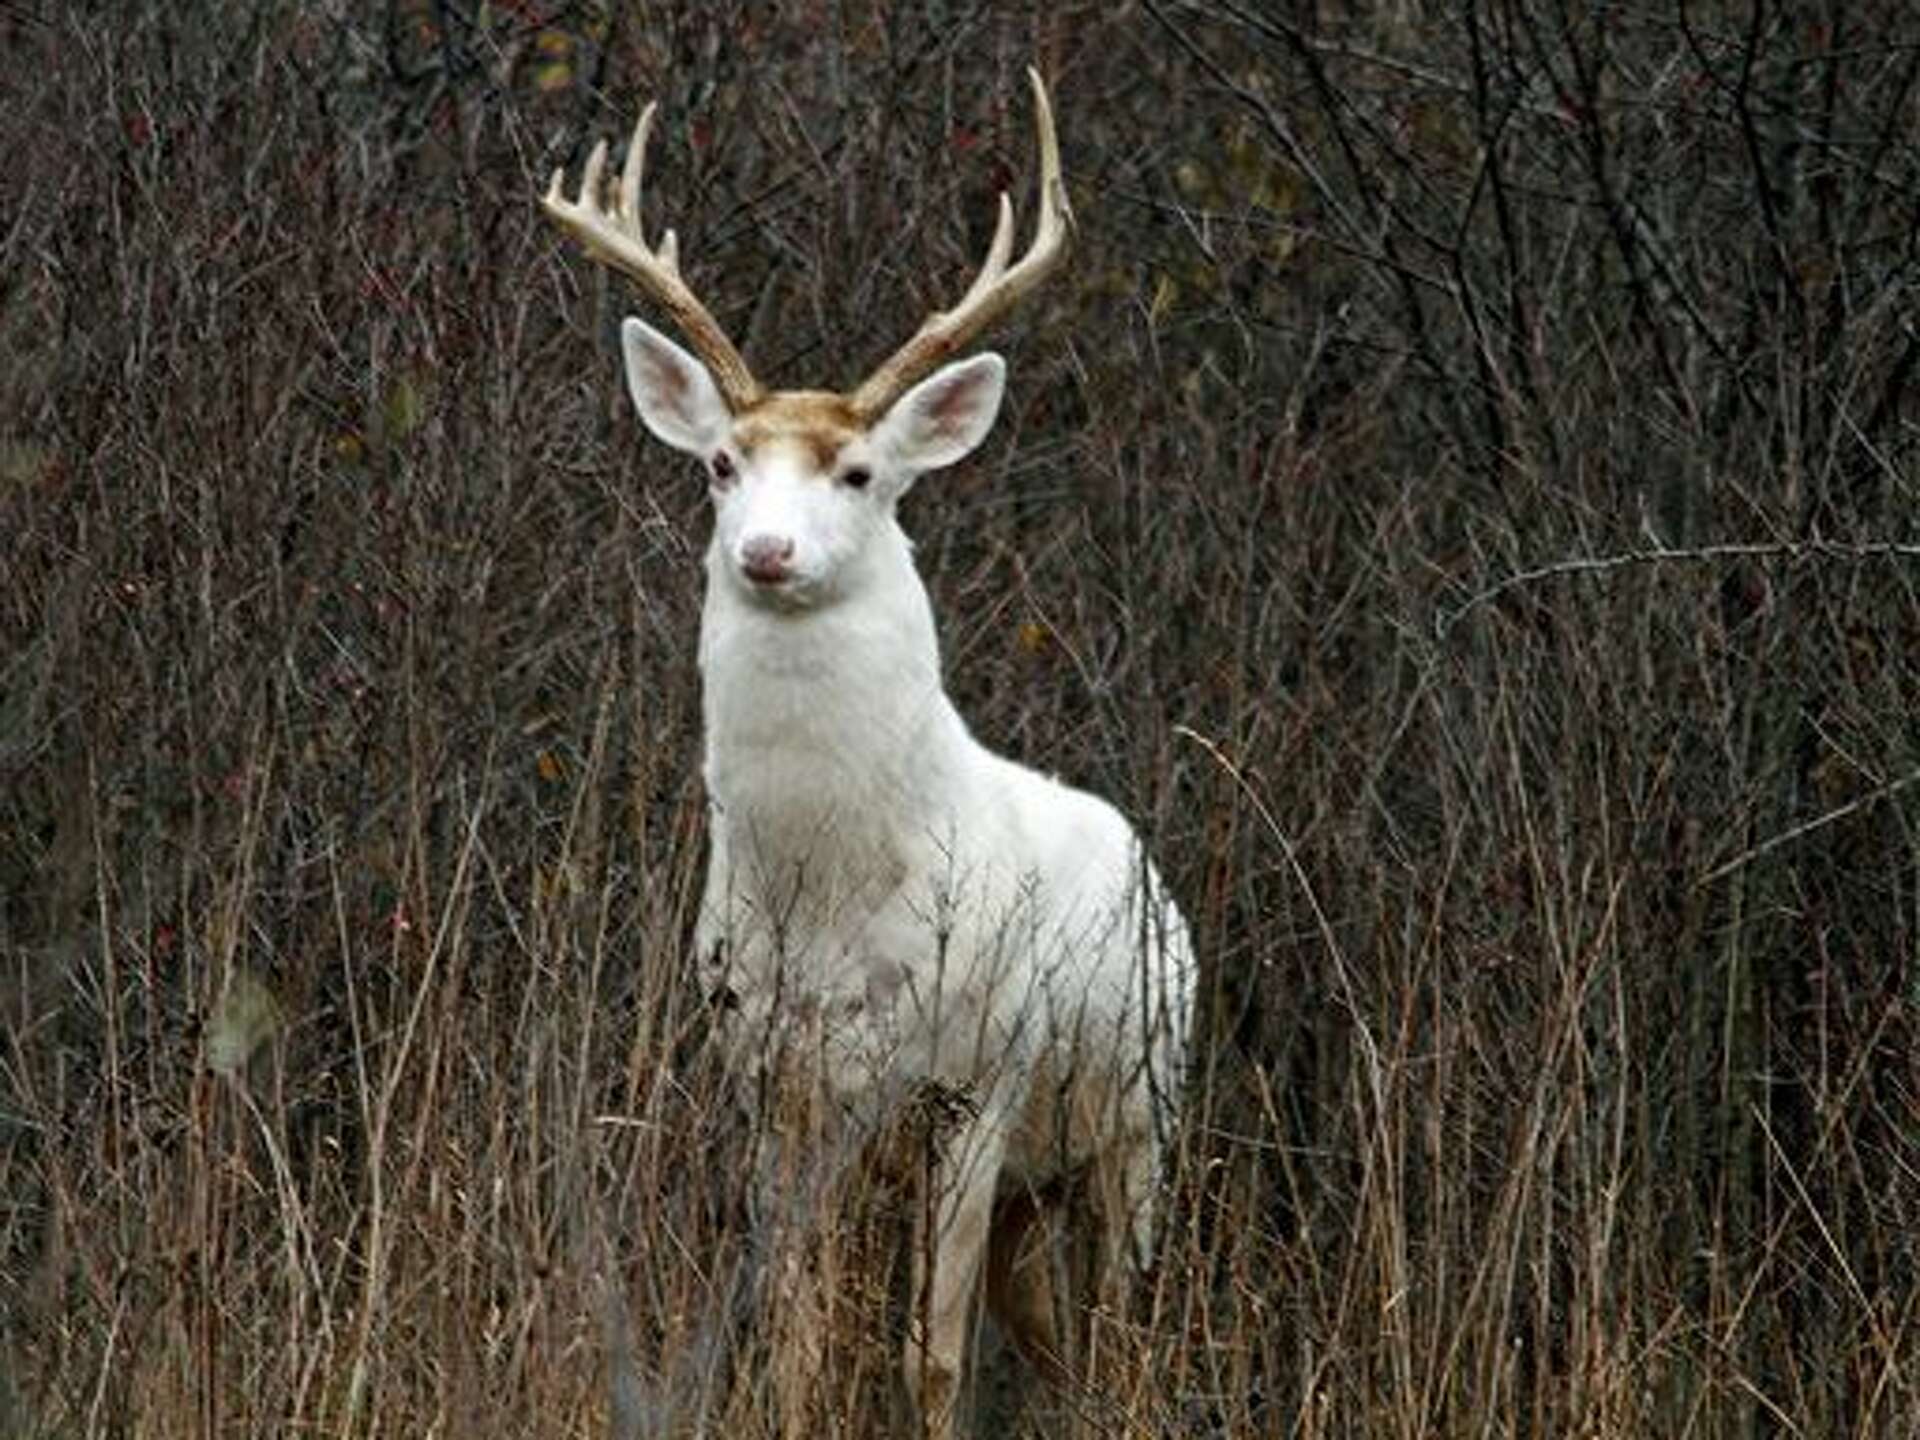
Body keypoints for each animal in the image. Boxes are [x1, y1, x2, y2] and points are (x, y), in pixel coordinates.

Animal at [543, 69, 1192, 1437]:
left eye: (856, 470)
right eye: (722, 464)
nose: (767, 551)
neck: (833, 890)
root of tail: (1150, 869)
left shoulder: (977, 1077)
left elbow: (929, 1357)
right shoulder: (774, 1085)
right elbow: (791, 1335)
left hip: (1141, 1113)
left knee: (1122, 1328)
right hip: (1039, 1179)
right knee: (1056, 1336)